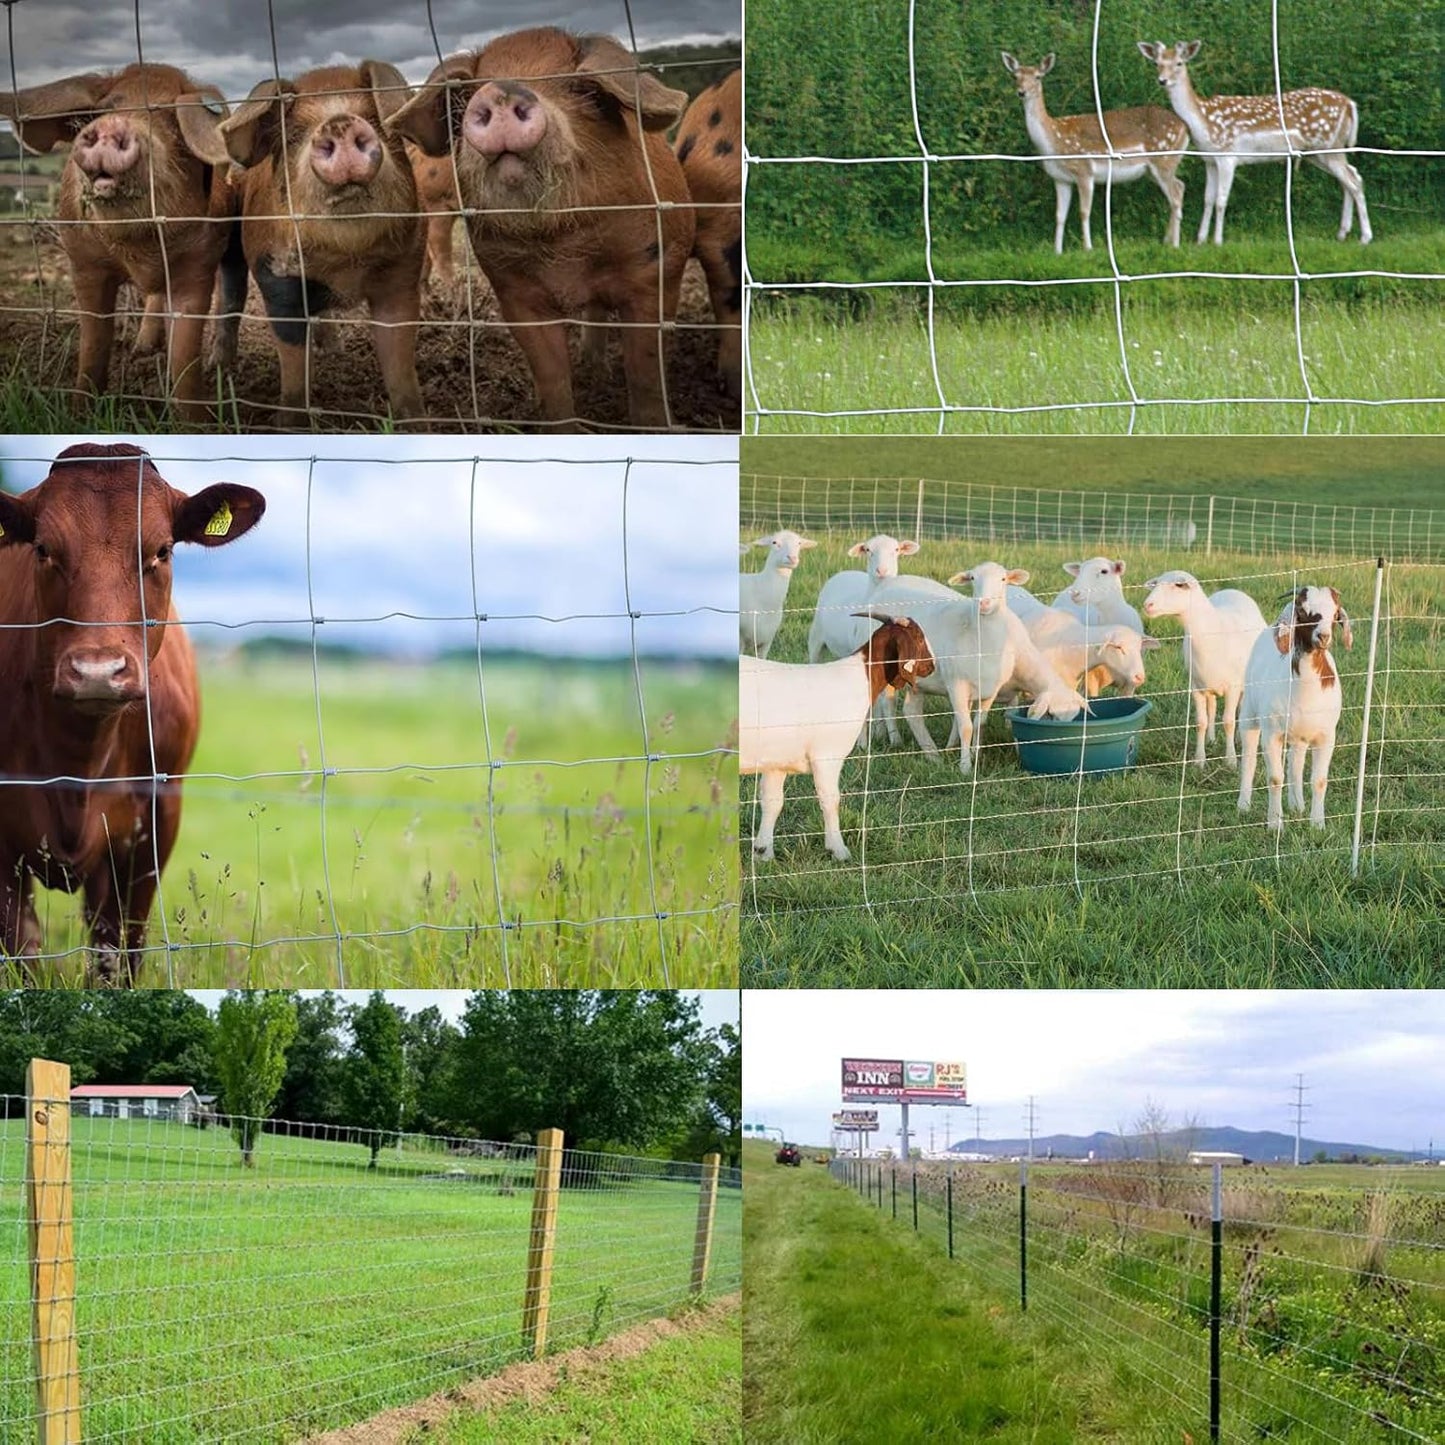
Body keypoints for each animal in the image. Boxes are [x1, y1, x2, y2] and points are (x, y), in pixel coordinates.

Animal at [0, 444, 265, 984]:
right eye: (43, 549)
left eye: (161, 550)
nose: (97, 672)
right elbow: (23, 956)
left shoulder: (155, 826)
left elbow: (119, 952)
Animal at [1001, 52, 1187, 254]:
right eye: (1015, 76)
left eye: (1037, 77)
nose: (1021, 92)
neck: (1053, 141)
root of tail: (1184, 127)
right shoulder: (1060, 178)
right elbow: (1059, 215)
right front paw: (1057, 252)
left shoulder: (1084, 170)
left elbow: (1083, 212)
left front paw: (1088, 248)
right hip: (1153, 169)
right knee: (1180, 187)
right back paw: (1166, 241)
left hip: (1164, 158)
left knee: (1176, 195)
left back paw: (1175, 244)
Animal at [1137, 41, 1371, 245]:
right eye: (1156, 63)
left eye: (1179, 63)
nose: (1162, 80)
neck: (1204, 119)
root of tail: (1350, 104)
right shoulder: (1210, 160)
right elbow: (1208, 199)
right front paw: (1200, 240)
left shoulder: (1228, 156)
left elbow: (1221, 200)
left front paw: (1217, 241)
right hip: (1320, 152)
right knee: (1351, 176)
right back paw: (1342, 233)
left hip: (1330, 144)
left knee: (1354, 181)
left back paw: (1365, 237)